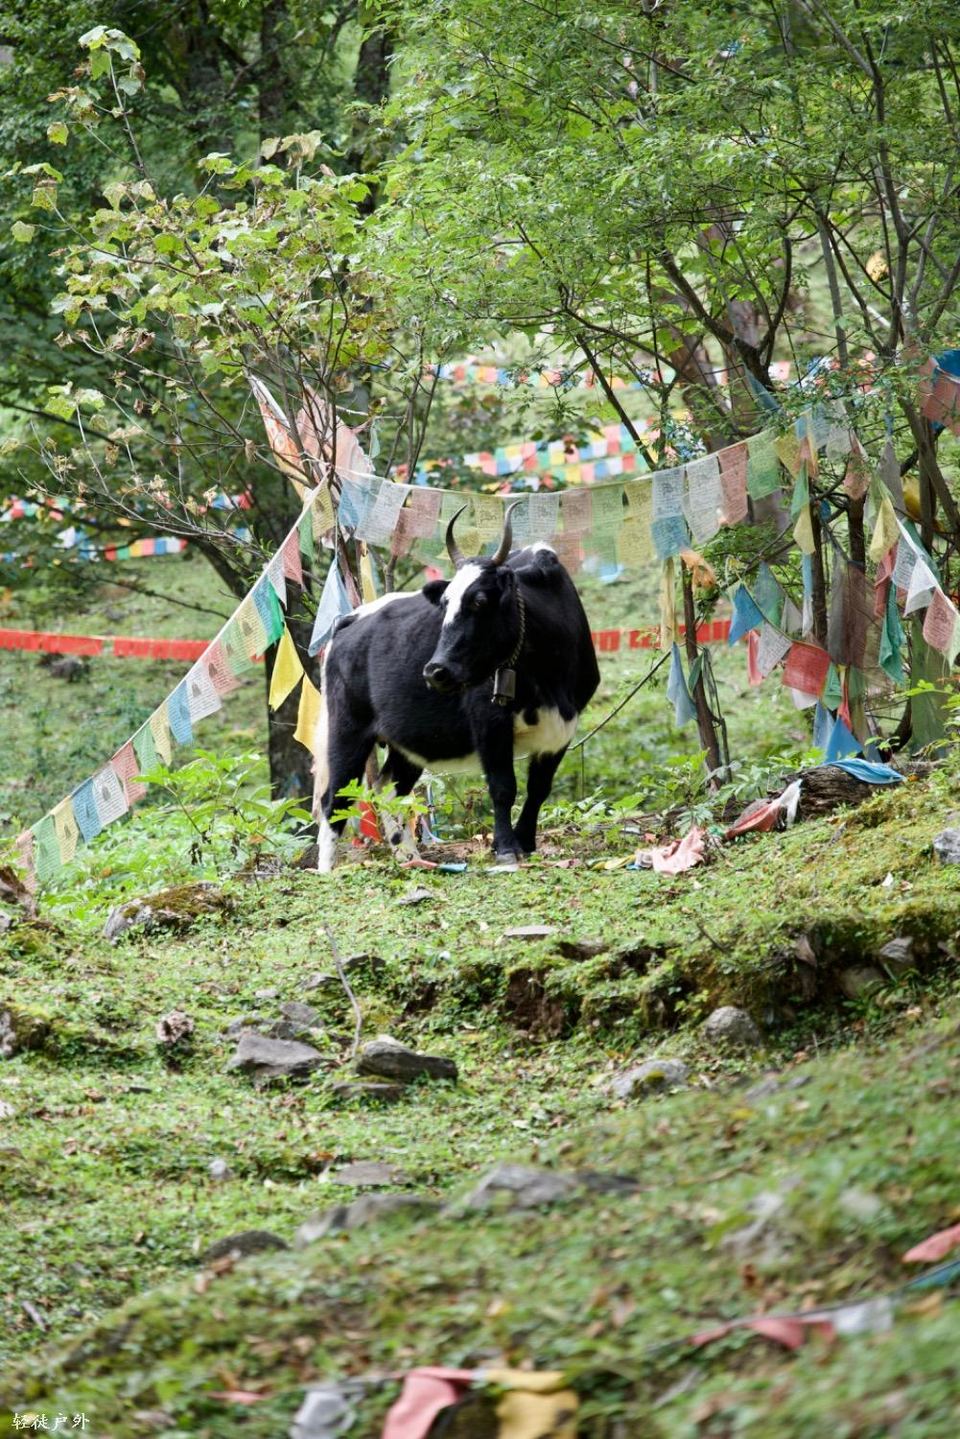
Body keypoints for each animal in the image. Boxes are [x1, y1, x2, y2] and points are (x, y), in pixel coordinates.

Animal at [312, 502, 600, 871]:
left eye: (479, 600)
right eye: (445, 603)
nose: (436, 671)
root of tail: (350, 619)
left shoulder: (563, 725)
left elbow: (539, 788)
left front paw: (526, 841)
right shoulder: (489, 720)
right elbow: (503, 786)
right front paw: (506, 848)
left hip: (405, 743)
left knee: (387, 788)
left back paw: (410, 857)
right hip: (347, 727)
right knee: (335, 797)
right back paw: (327, 869)